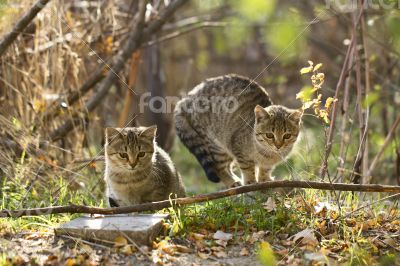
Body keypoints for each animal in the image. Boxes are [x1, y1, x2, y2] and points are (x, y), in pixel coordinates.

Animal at [173, 74, 302, 187]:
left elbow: (265, 169)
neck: (268, 154)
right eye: (269, 135)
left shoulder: (266, 163)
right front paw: (250, 181)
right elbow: (248, 168)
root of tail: (185, 99)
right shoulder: (239, 150)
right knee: (219, 167)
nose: (278, 146)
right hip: (217, 143)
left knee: (228, 166)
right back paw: (232, 182)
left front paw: (264, 179)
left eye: (287, 136)